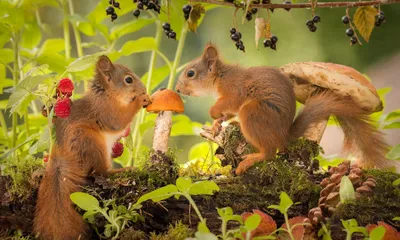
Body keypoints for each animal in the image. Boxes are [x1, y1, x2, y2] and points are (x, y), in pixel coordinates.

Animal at [33, 55, 150, 240]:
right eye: (128, 80)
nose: (144, 88)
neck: (107, 94)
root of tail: (61, 154)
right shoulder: (106, 111)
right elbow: (119, 120)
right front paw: (141, 99)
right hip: (90, 143)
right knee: (99, 172)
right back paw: (123, 170)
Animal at [177, 43, 398, 174]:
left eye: (190, 73)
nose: (178, 89)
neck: (219, 77)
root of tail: (284, 134)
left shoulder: (234, 90)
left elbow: (229, 104)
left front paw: (214, 113)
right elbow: (228, 112)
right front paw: (217, 124)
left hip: (253, 113)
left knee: (269, 152)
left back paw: (250, 160)